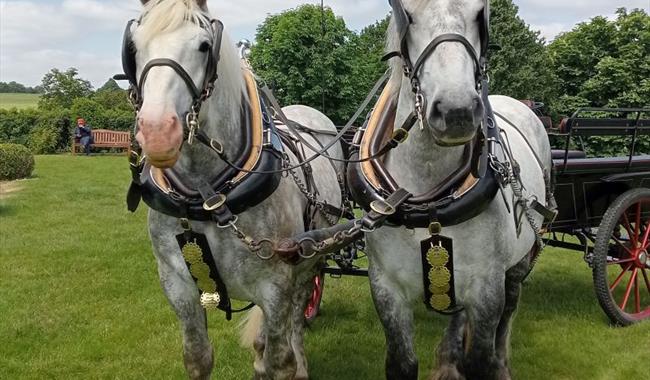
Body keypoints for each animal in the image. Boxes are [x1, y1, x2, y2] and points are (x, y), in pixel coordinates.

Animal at [125, 1, 340, 378]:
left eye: (204, 46)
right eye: (133, 47)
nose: (156, 132)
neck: (207, 197)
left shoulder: (276, 286)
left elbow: (279, 362)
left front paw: (288, 364)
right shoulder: (178, 287)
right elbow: (198, 358)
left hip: (310, 261)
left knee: (298, 315)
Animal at [362, 0, 548, 380]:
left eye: (480, 13)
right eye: (407, 13)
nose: (456, 111)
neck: (429, 201)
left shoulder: (487, 289)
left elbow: (481, 361)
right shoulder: (386, 288)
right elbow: (402, 363)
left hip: (519, 263)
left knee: (509, 311)